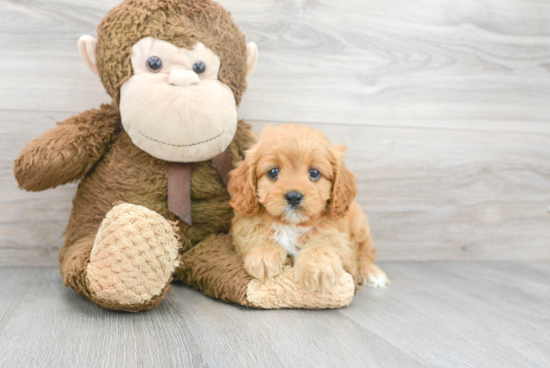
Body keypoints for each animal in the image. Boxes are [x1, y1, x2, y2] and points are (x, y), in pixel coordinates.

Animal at [227, 125, 388, 292]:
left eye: (314, 173)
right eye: (273, 172)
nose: (293, 197)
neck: (291, 225)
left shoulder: (338, 237)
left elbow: (323, 241)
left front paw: (318, 266)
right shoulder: (245, 224)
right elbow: (257, 233)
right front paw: (263, 255)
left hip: (360, 225)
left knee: (365, 252)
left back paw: (372, 272)